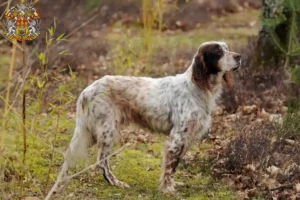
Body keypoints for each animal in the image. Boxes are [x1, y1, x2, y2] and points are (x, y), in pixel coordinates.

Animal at [55, 40, 241, 194]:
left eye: (226, 48)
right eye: (218, 51)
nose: (239, 56)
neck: (198, 87)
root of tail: (86, 91)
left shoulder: (187, 138)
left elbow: (174, 165)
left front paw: (173, 184)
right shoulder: (177, 137)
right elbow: (170, 166)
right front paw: (168, 189)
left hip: (91, 132)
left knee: (70, 154)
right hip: (107, 130)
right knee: (101, 162)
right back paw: (116, 183)